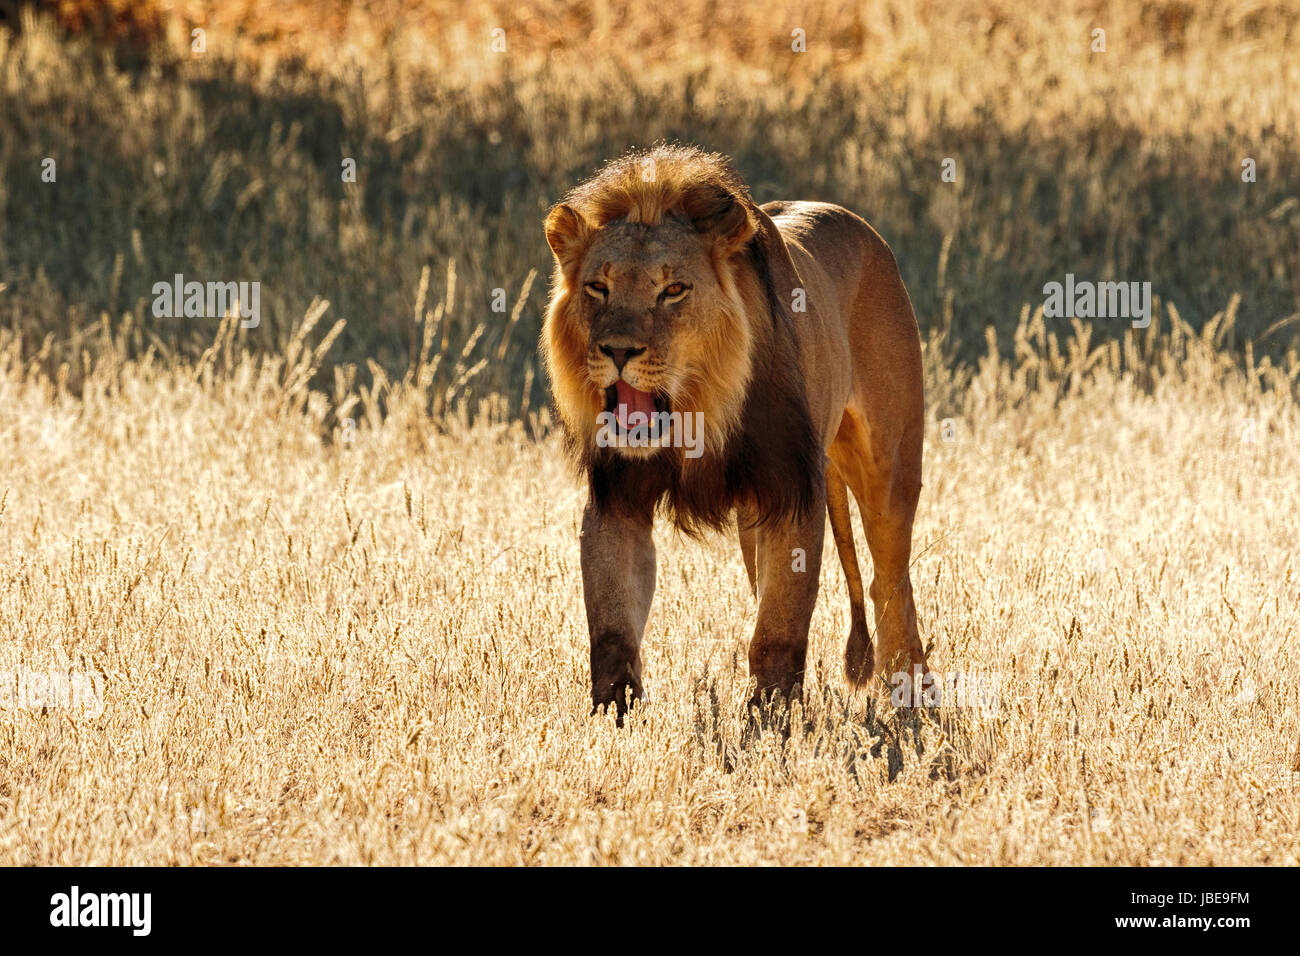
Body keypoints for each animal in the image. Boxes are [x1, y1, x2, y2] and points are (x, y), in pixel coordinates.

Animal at [543, 145, 930, 723]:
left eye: (673, 290)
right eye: (597, 287)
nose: (618, 350)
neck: (699, 413)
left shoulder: (793, 491)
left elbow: (778, 630)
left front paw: (771, 720)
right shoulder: (617, 497)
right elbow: (612, 626)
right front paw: (612, 718)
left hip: (889, 468)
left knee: (891, 581)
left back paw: (910, 695)